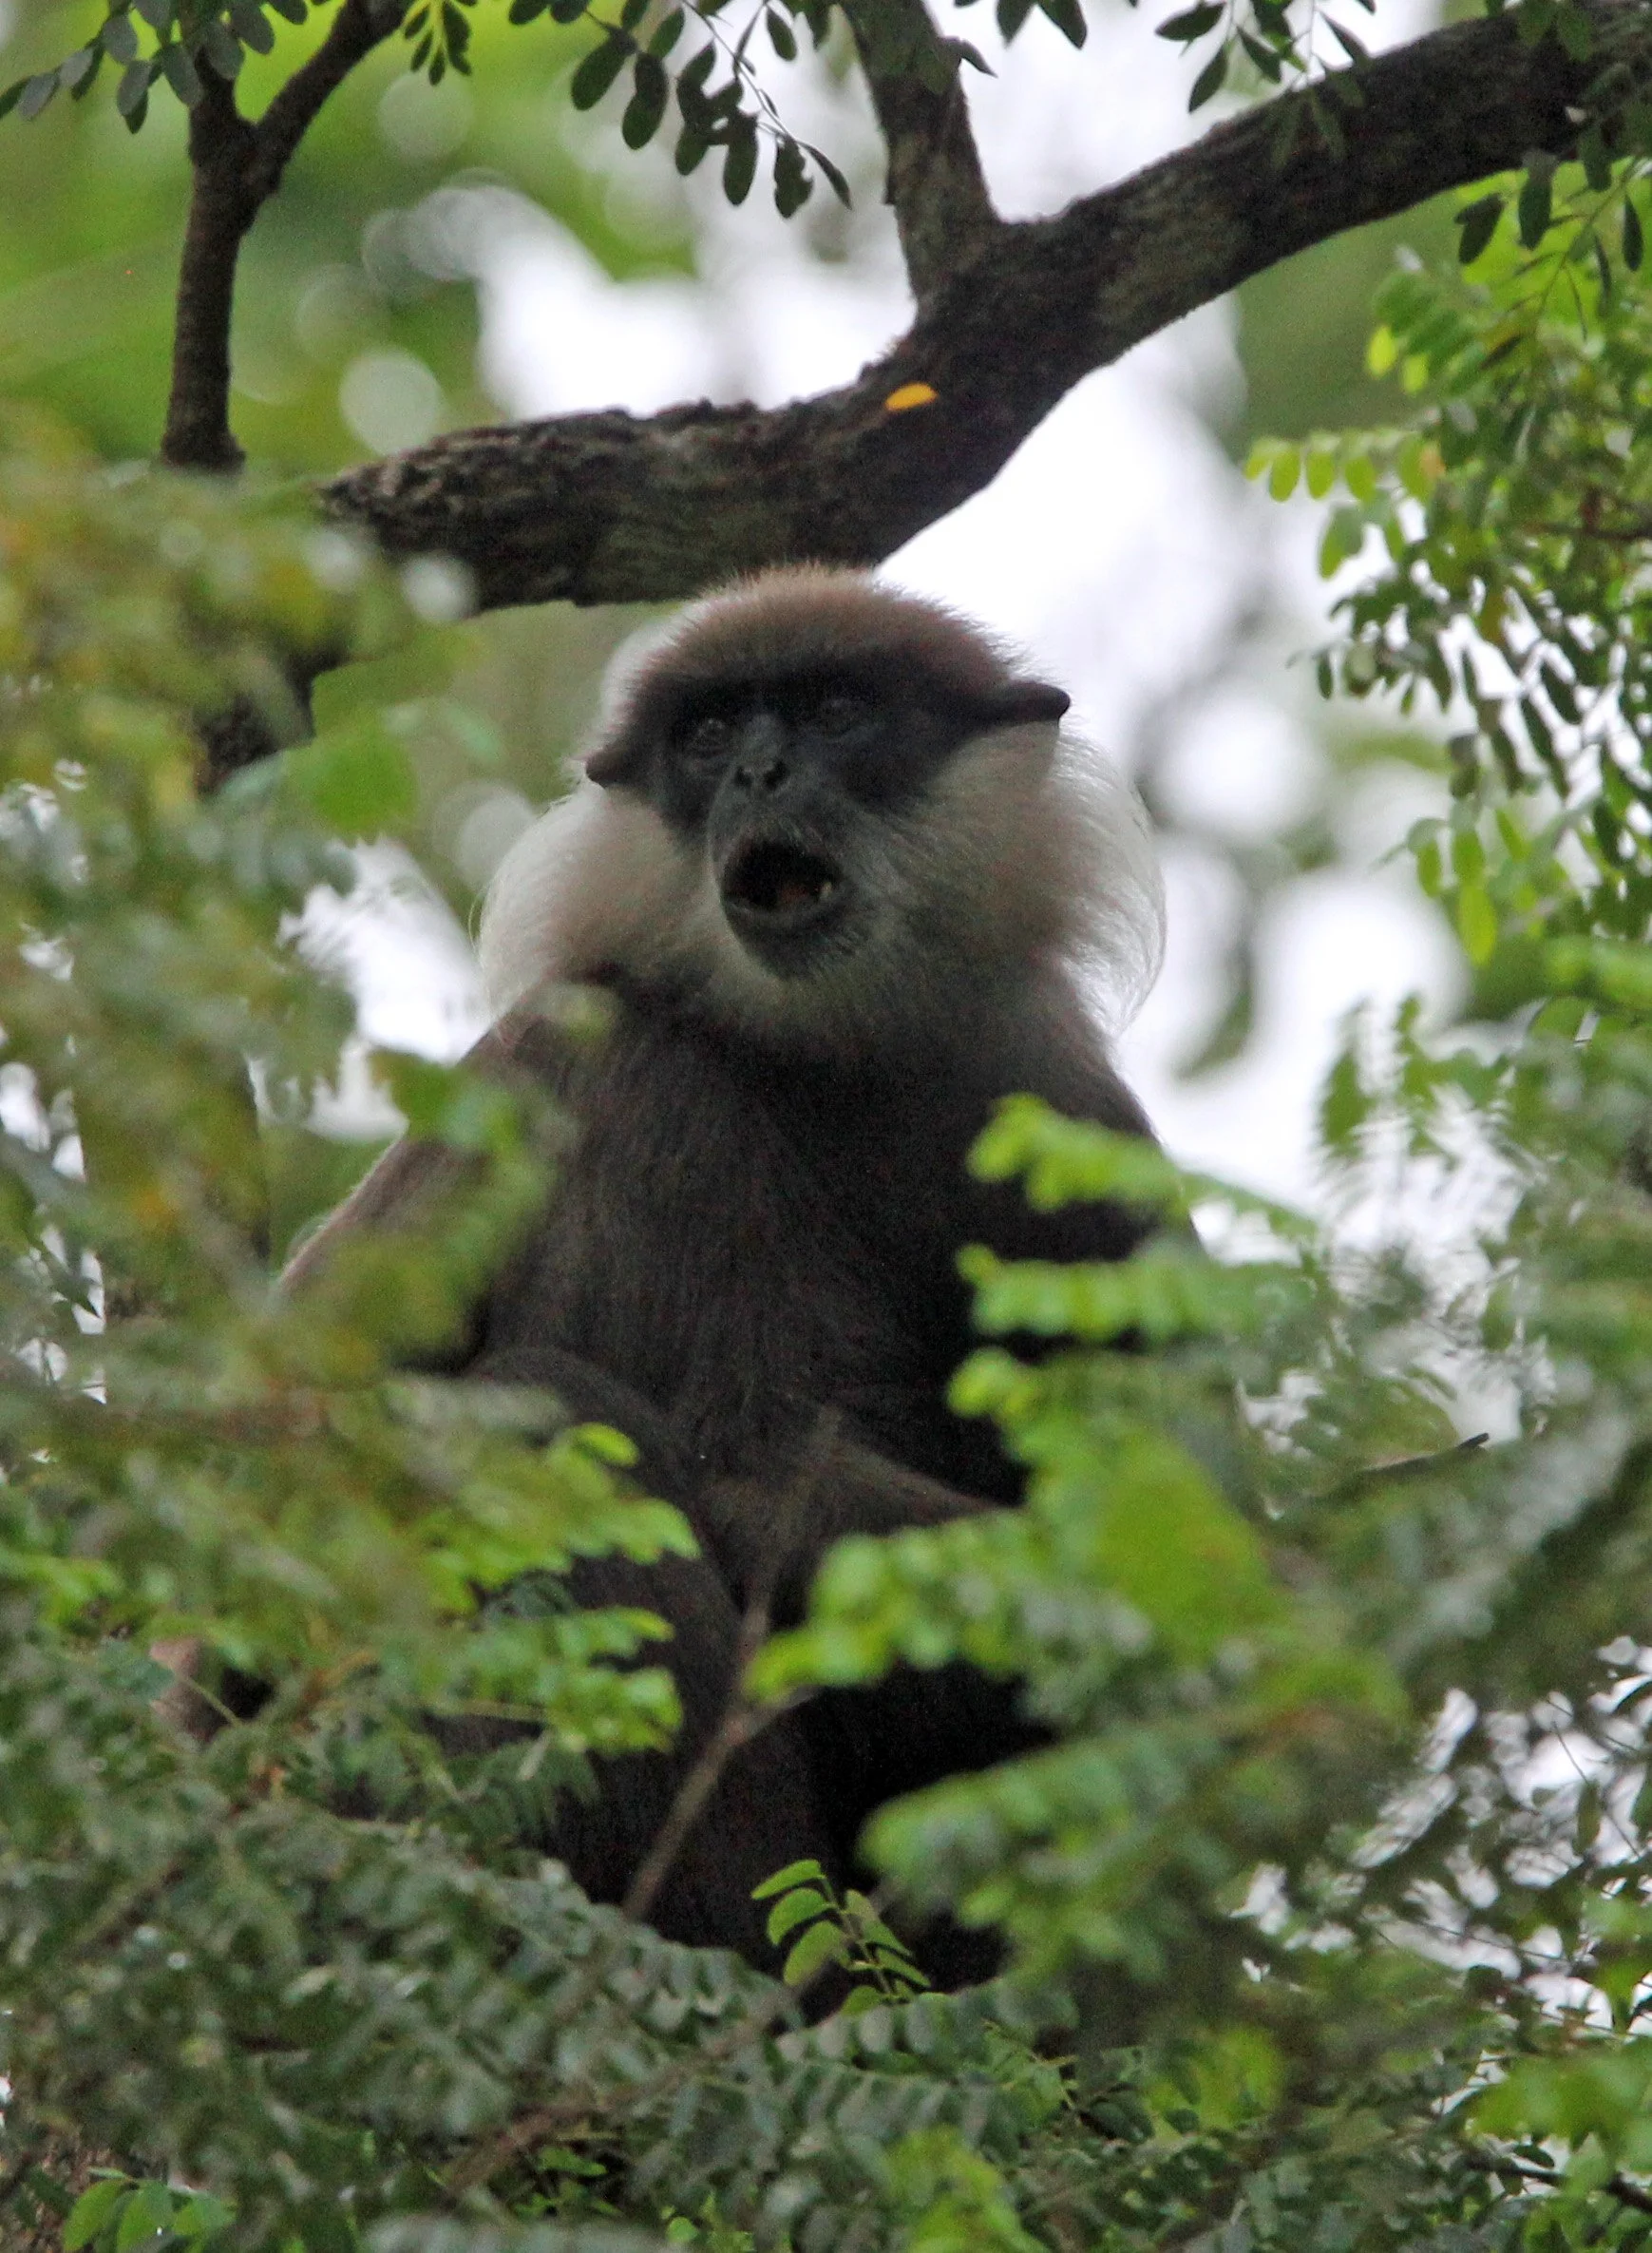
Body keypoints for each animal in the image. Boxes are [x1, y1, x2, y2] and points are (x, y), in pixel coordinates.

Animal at [287, 566, 1165, 1984]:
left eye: (834, 709)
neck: (830, 1051)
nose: (757, 770)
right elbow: (746, 1463)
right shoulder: (611, 1045)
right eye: (704, 737)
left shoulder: (1063, 1108)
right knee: (543, 1417)